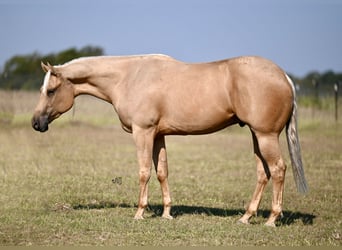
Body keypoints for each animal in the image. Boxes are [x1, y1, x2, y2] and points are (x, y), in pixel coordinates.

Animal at [31, 53, 308, 226]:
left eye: (51, 91)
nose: (36, 123)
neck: (129, 77)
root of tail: (283, 76)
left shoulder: (143, 132)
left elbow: (144, 172)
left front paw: (140, 213)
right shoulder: (158, 135)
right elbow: (162, 172)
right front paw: (166, 213)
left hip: (265, 135)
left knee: (278, 169)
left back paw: (271, 219)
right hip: (255, 135)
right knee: (263, 173)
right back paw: (246, 217)